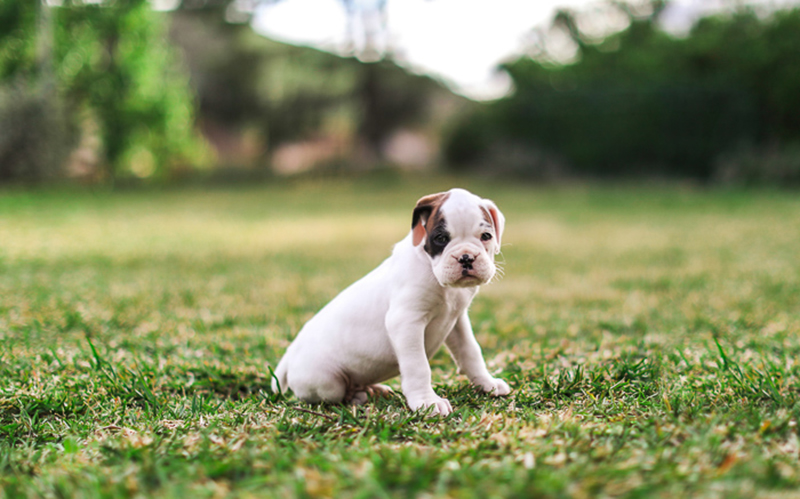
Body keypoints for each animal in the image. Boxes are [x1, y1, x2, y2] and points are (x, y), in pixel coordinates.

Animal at [274, 188, 512, 414]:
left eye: (486, 235)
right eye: (441, 239)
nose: (466, 257)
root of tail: (290, 351)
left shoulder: (457, 320)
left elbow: (471, 352)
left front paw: (487, 384)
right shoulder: (406, 322)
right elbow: (418, 366)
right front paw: (427, 402)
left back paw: (373, 390)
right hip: (326, 382)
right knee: (337, 393)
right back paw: (360, 395)